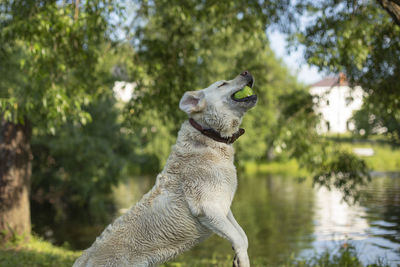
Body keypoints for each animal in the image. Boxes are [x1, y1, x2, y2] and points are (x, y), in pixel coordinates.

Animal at [73, 71, 258, 267]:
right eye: (222, 84)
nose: (246, 72)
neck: (208, 135)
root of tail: (83, 259)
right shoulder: (207, 208)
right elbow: (239, 239)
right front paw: (243, 260)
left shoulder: (224, 206)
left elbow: (242, 236)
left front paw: (237, 257)